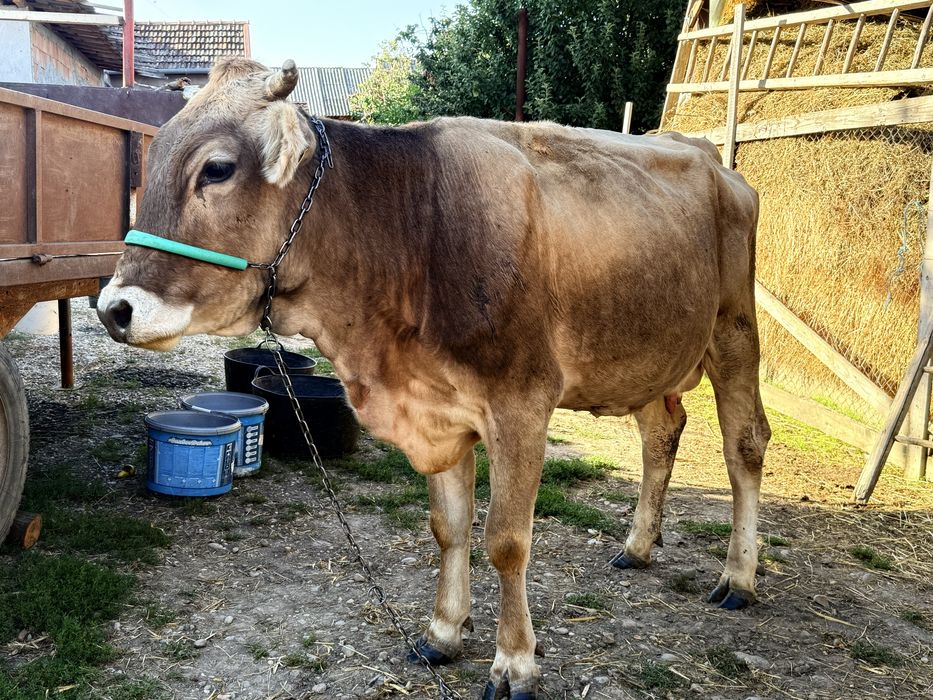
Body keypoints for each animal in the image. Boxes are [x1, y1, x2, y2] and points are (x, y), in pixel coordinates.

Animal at [97, 58, 770, 698]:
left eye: (216, 169)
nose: (115, 308)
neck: (411, 233)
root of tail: (708, 154)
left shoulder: (521, 403)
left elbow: (506, 541)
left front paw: (515, 664)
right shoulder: (437, 407)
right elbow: (448, 528)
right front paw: (444, 632)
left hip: (733, 331)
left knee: (745, 445)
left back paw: (738, 576)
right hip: (645, 357)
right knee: (663, 431)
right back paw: (637, 547)